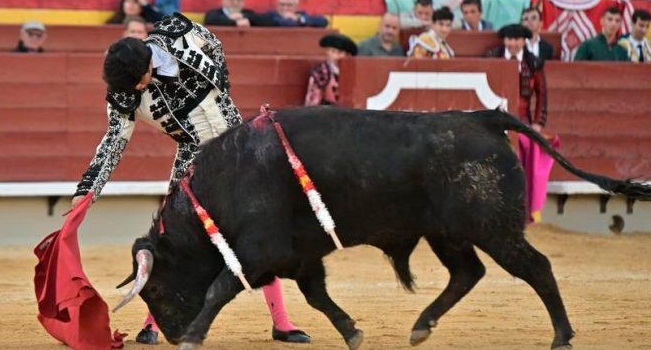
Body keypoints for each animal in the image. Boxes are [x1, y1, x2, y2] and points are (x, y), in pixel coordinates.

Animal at [118, 106, 651, 350]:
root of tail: (483, 117)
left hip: (495, 228)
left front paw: (195, 336)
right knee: (468, 273)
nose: (169, 335)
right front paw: (352, 331)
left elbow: (219, 288)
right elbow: (317, 296)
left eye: (156, 290)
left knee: (536, 267)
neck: (225, 184)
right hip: (448, 234)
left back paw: (562, 336)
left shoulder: (257, 250)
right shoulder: (299, 256)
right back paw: (420, 326)